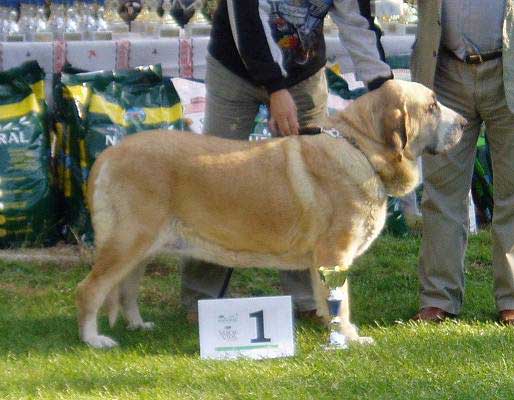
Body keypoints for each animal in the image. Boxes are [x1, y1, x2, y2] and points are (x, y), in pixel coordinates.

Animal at [76, 79, 464, 348]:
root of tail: (107, 155)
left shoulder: (321, 260)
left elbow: (326, 297)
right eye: (432, 106)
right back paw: (94, 340)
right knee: (90, 289)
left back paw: (138, 325)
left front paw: (333, 330)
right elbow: (342, 303)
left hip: (141, 248)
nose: (463, 123)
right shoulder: (335, 254)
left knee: (127, 289)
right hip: (127, 242)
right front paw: (351, 338)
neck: (361, 148)